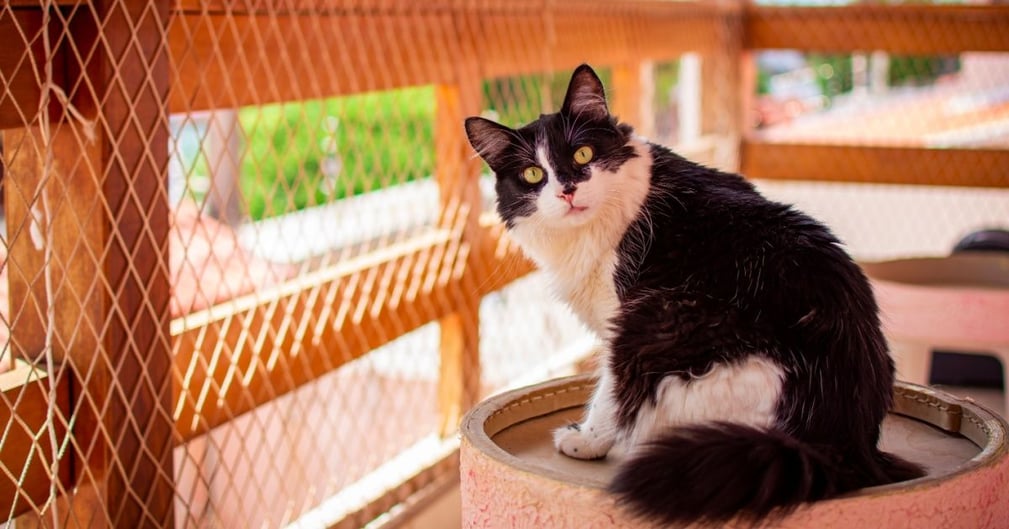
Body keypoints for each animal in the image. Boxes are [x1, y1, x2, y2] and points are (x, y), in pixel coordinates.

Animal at [464, 65, 924, 524]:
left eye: (582, 155)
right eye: (533, 175)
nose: (567, 191)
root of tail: (838, 444)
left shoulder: (619, 324)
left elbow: (608, 395)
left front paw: (586, 440)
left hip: (660, 325)